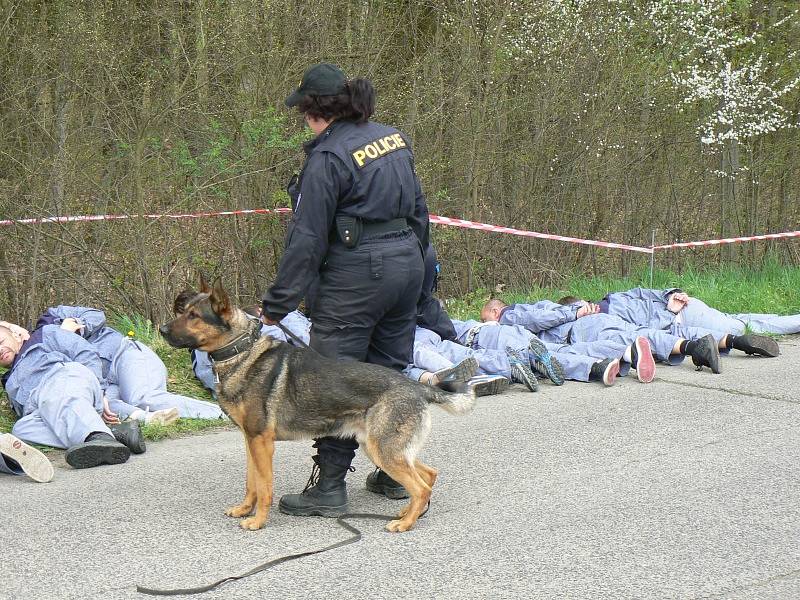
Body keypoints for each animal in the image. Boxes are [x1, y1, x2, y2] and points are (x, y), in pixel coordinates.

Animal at [159, 278, 478, 532]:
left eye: (193, 315)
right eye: (183, 311)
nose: (161, 330)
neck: (241, 351)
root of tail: (417, 386)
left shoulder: (262, 443)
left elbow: (265, 487)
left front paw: (258, 521)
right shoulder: (250, 441)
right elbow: (252, 483)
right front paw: (243, 509)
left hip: (382, 450)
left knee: (421, 486)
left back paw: (405, 523)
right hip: (380, 447)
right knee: (429, 474)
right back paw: (408, 512)